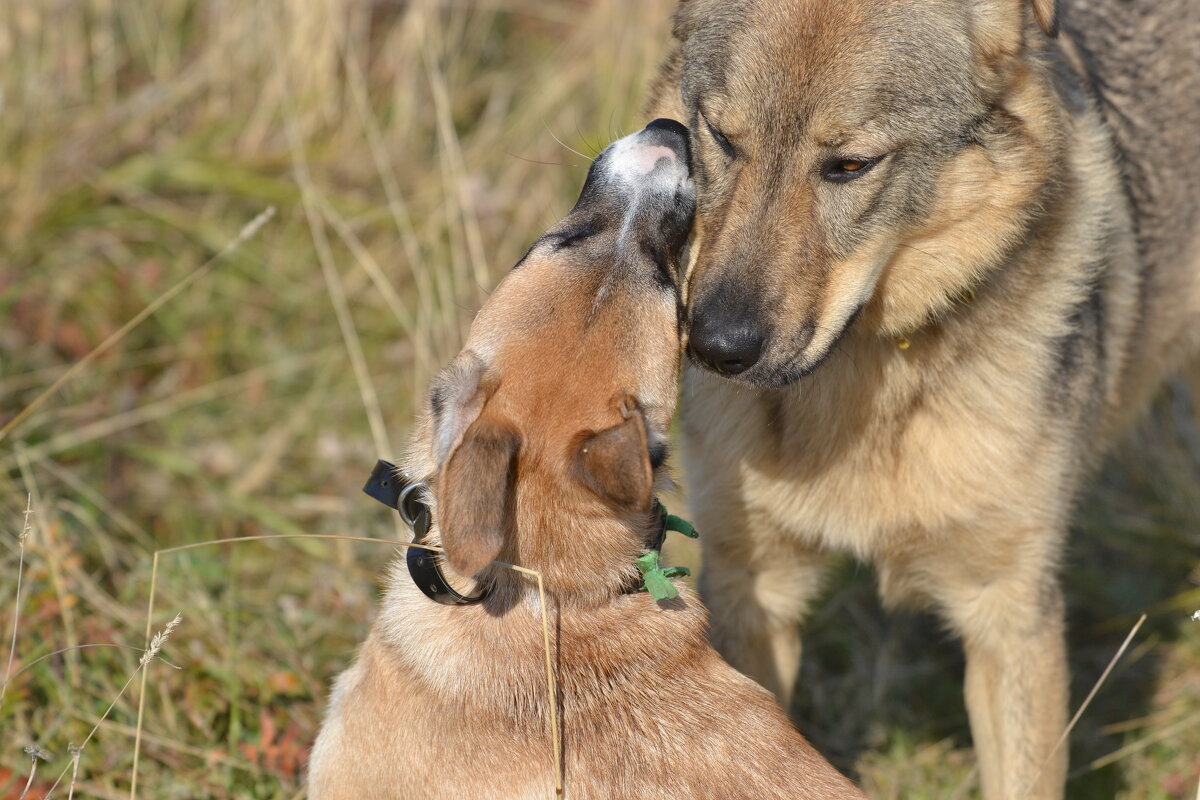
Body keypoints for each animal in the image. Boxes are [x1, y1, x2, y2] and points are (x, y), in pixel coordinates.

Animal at [648, 0, 1200, 796]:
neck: (866, 387)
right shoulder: (754, 587)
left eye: (849, 165)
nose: (714, 347)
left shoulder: (1009, 614)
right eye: (722, 139)